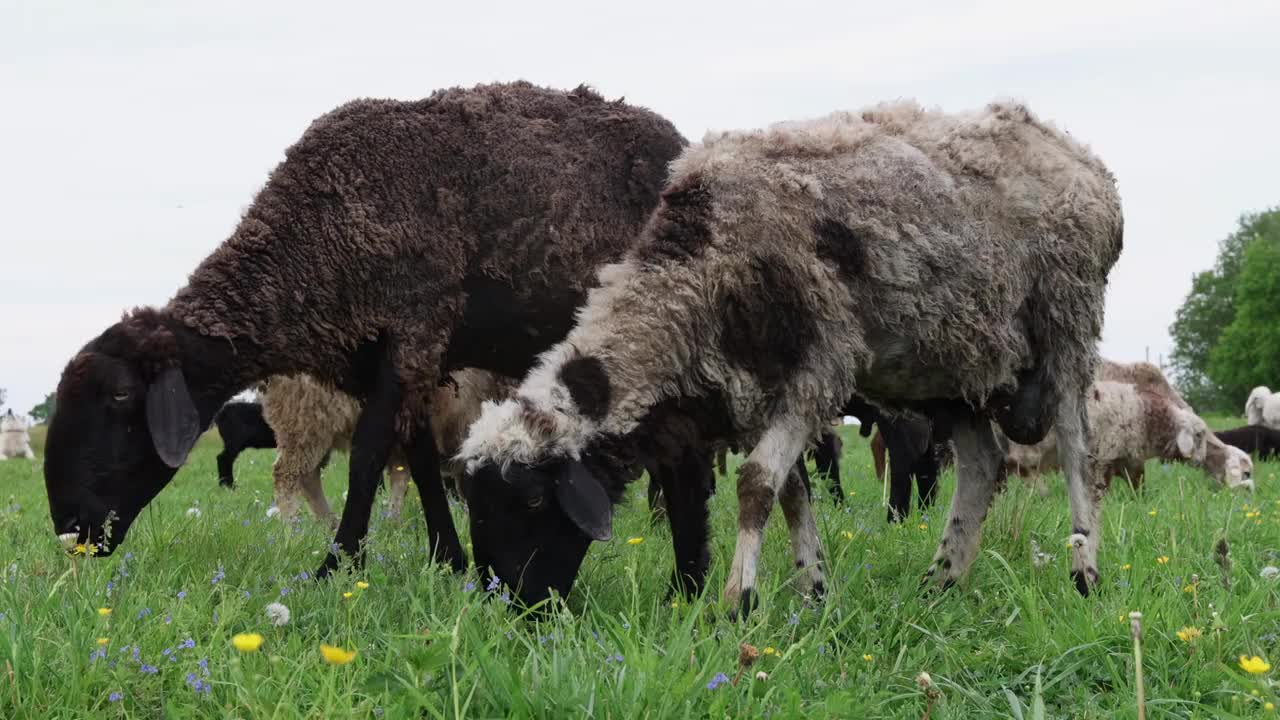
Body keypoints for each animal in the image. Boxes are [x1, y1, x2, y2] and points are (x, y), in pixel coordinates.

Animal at [45, 79, 691, 576]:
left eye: (120, 396)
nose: (69, 528)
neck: (312, 241)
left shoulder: (412, 332)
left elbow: (368, 457)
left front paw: (335, 567)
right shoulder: (392, 361)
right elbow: (419, 460)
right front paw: (445, 560)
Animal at [458, 98, 1121, 607]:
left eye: (533, 499)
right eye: (477, 506)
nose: (519, 609)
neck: (699, 264)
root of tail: (1081, 156)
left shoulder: (818, 369)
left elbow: (755, 485)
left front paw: (738, 603)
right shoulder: (757, 388)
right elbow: (791, 492)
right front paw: (812, 592)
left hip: (1066, 317)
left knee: (1075, 450)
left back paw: (1084, 572)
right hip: (951, 361)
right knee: (983, 464)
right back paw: (941, 582)